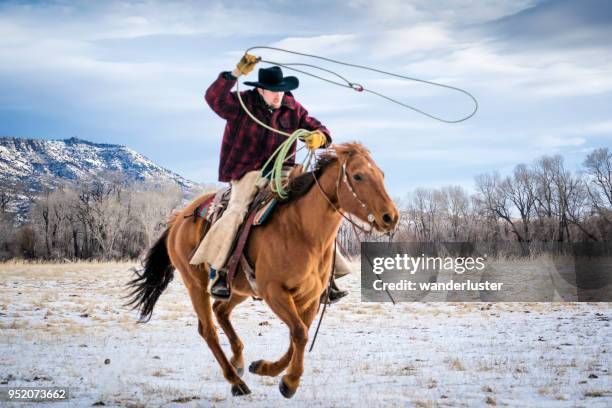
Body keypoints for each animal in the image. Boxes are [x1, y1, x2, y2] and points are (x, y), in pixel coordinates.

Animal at [126, 141, 400, 398]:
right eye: (358, 176)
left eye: (382, 174)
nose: (391, 217)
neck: (302, 231)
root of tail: (177, 219)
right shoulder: (274, 292)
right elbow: (299, 333)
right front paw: (289, 382)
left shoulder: (311, 298)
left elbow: (297, 336)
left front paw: (266, 368)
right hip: (195, 283)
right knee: (208, 329)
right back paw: (236, 382)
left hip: (240, 289)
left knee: (221, 310)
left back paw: (238, 361)